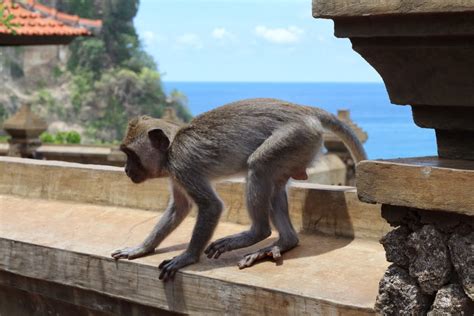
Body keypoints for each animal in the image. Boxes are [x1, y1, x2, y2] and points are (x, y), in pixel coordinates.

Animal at [111, 97, 366, 280]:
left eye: (131, 155)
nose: (126, 169)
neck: (172, 147)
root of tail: (304, 110)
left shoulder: (183, 165)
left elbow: (211, 207)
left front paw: (187, 257)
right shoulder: (175, 174)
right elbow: (179, 208)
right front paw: (142, 248)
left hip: (295, 137)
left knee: (259, 166)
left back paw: (257, 233)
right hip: (298, 148)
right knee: (274, 186)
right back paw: (286, 242)